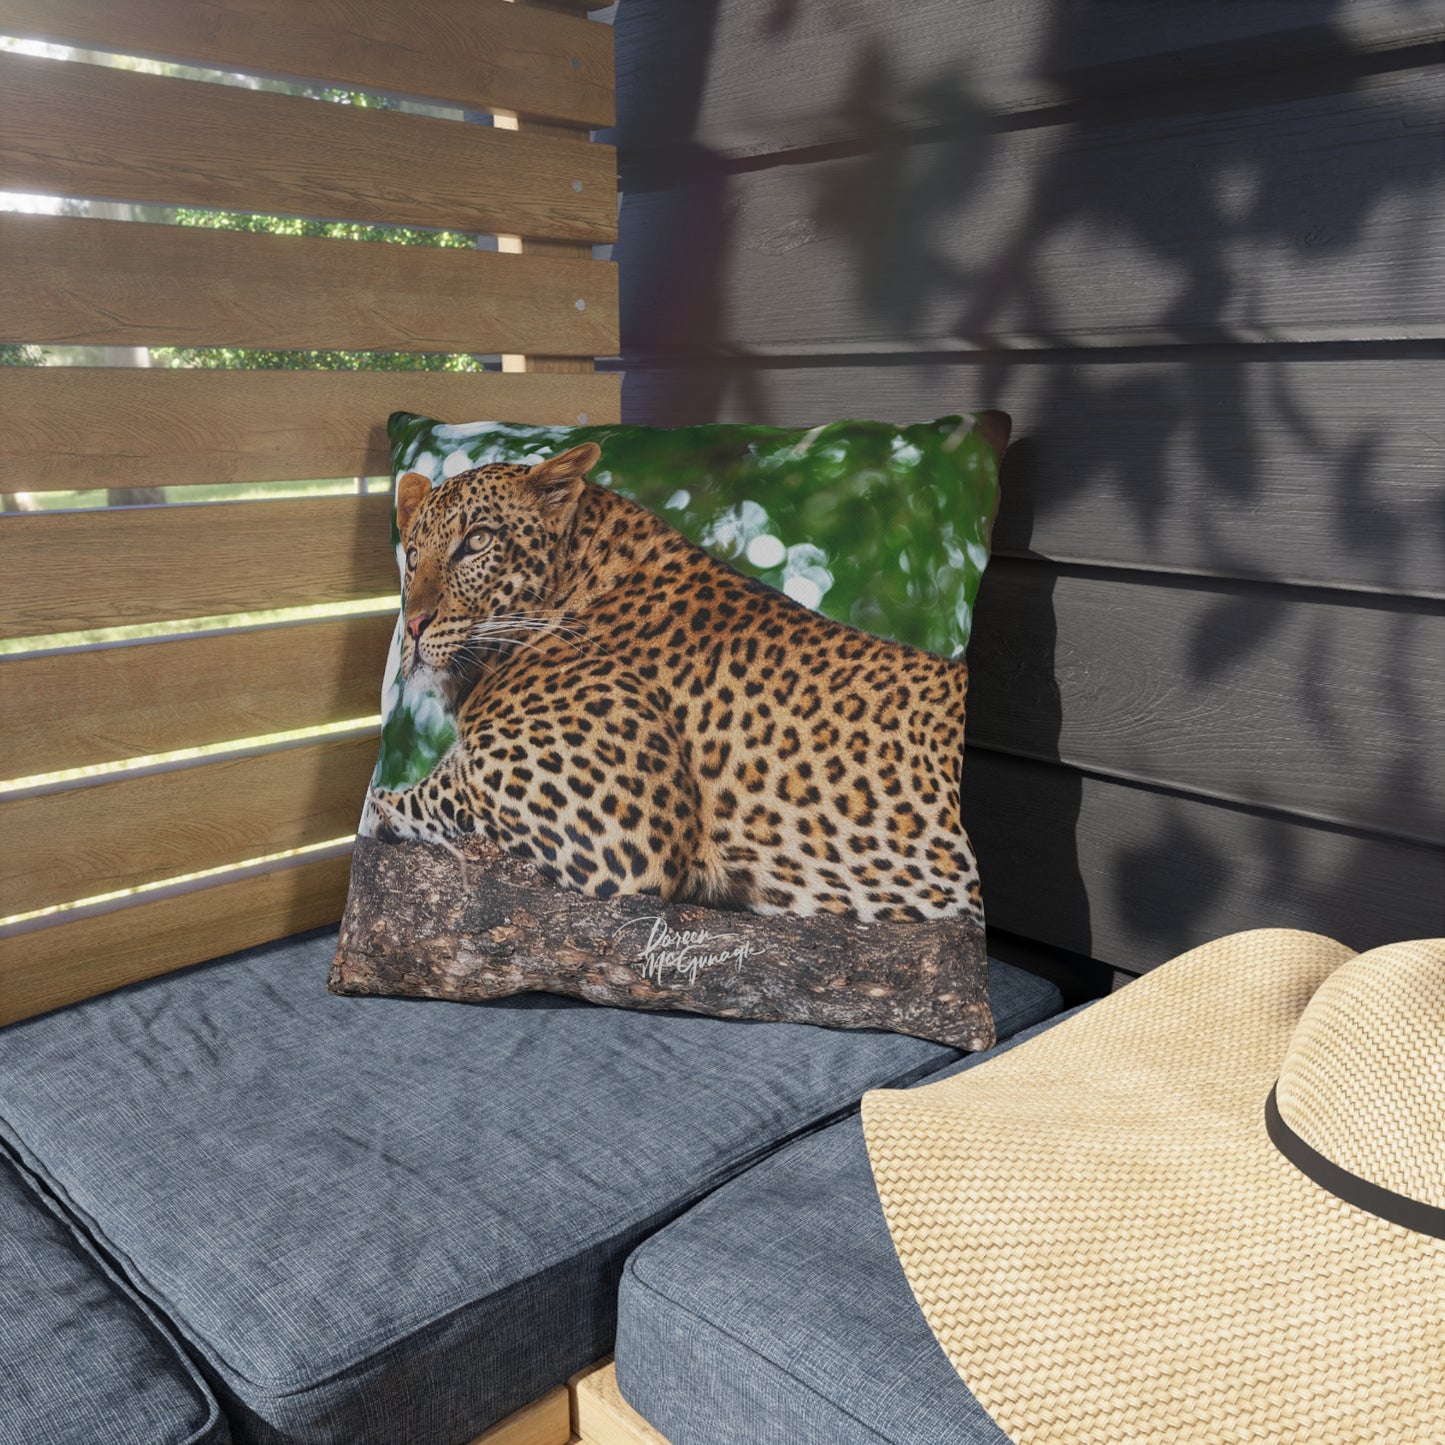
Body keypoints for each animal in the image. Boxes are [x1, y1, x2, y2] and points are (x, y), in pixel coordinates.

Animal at [367, 426, 1006, 923]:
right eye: (412, 556)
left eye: (477, 541)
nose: (413, 627)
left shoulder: (609, 825)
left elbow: (412, 798)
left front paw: (380, 808)